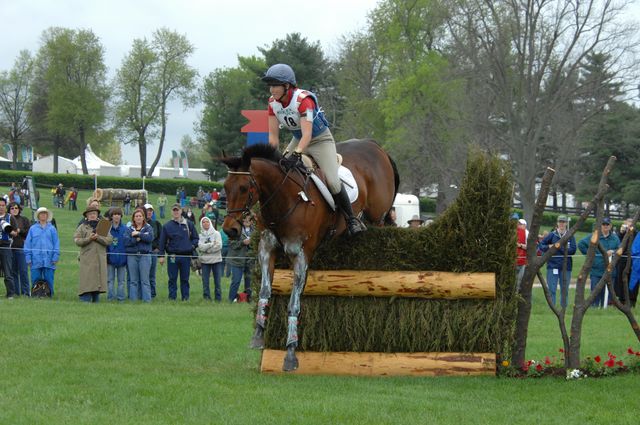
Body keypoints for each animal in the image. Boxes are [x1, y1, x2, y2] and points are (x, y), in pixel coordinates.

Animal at [222, 140, 398, 372]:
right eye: (225, 187)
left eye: (243, 188)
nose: (230, 230)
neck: (285, 198)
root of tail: (378, 148)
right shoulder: (266, 249)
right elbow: (264, 291)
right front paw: (258, 336)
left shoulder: (301, 255)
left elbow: (294, 304)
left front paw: (290, 354)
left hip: (378, 217)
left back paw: (355, 226)